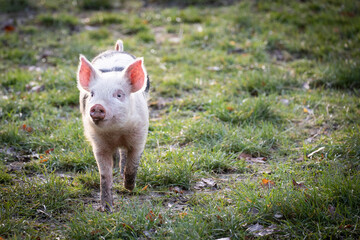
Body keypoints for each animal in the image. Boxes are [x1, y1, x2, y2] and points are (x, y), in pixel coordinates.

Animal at [76, 39, 149, 212]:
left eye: (119, 95)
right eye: (92, 94)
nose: (97, 107)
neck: (117, 132)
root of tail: (117, 50)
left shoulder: (140, 136)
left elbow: (133, 164)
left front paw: (129, 187)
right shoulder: (98, 144)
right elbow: (104, 175)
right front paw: (106, 209)